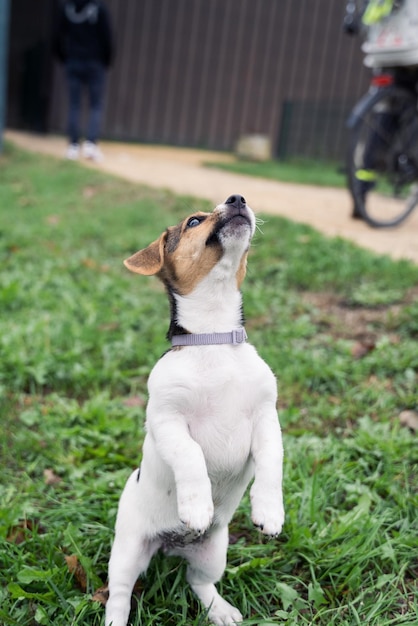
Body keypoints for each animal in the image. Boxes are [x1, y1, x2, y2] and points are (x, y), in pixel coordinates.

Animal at [106, 195, 286, 624]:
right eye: (193, 221)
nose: (238, 198)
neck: (213, 338)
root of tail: (172, 543)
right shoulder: (166, 419)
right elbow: (191, 456)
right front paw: (197, 504)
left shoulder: (266, 417)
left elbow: (272, 461)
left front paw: (270, 511)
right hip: (127, 551)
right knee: (119, 593)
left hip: (213, 553)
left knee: (198, 582)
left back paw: (220, 610)